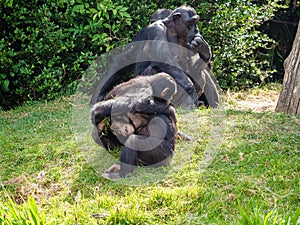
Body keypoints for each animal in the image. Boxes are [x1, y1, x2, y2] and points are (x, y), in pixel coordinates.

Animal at [90, 5, 219, 109]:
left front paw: (203, 48)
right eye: (191, 23)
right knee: (155, 69)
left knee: (198, 72)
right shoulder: (155, 29)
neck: (174, 31)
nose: (196, 29)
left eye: (196, 22)